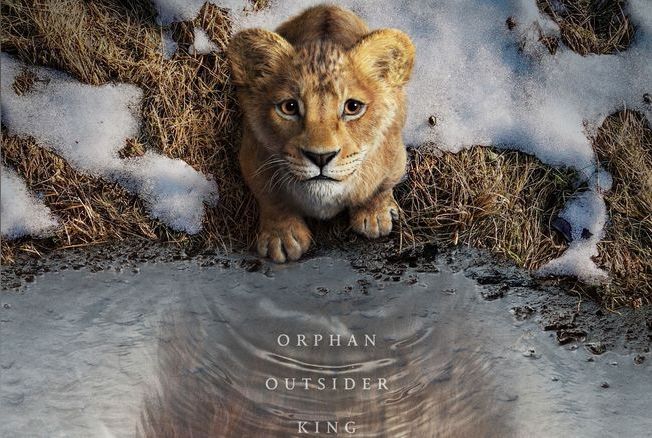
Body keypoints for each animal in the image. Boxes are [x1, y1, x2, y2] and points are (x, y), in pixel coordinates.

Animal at [228, 5, 415, 263]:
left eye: (353, 107)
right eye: (289, 107)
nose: (320, 157)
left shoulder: (395, 156)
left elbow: (381, 187)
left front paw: (375, 215)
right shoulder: (252, 156)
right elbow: (271, 198)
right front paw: (282, 237)